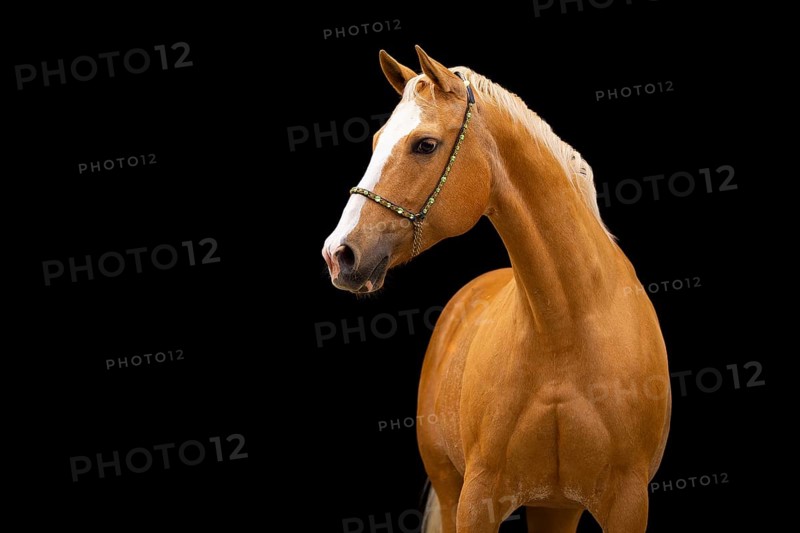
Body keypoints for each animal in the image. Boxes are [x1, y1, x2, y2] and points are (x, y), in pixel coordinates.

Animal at [322, 46, 671, 533]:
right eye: (376, 142)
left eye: (424, 144)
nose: (339, 254)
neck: (564, 330)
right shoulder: (477, 499)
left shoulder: (627, 504)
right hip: (451, 489)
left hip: (554, 508)